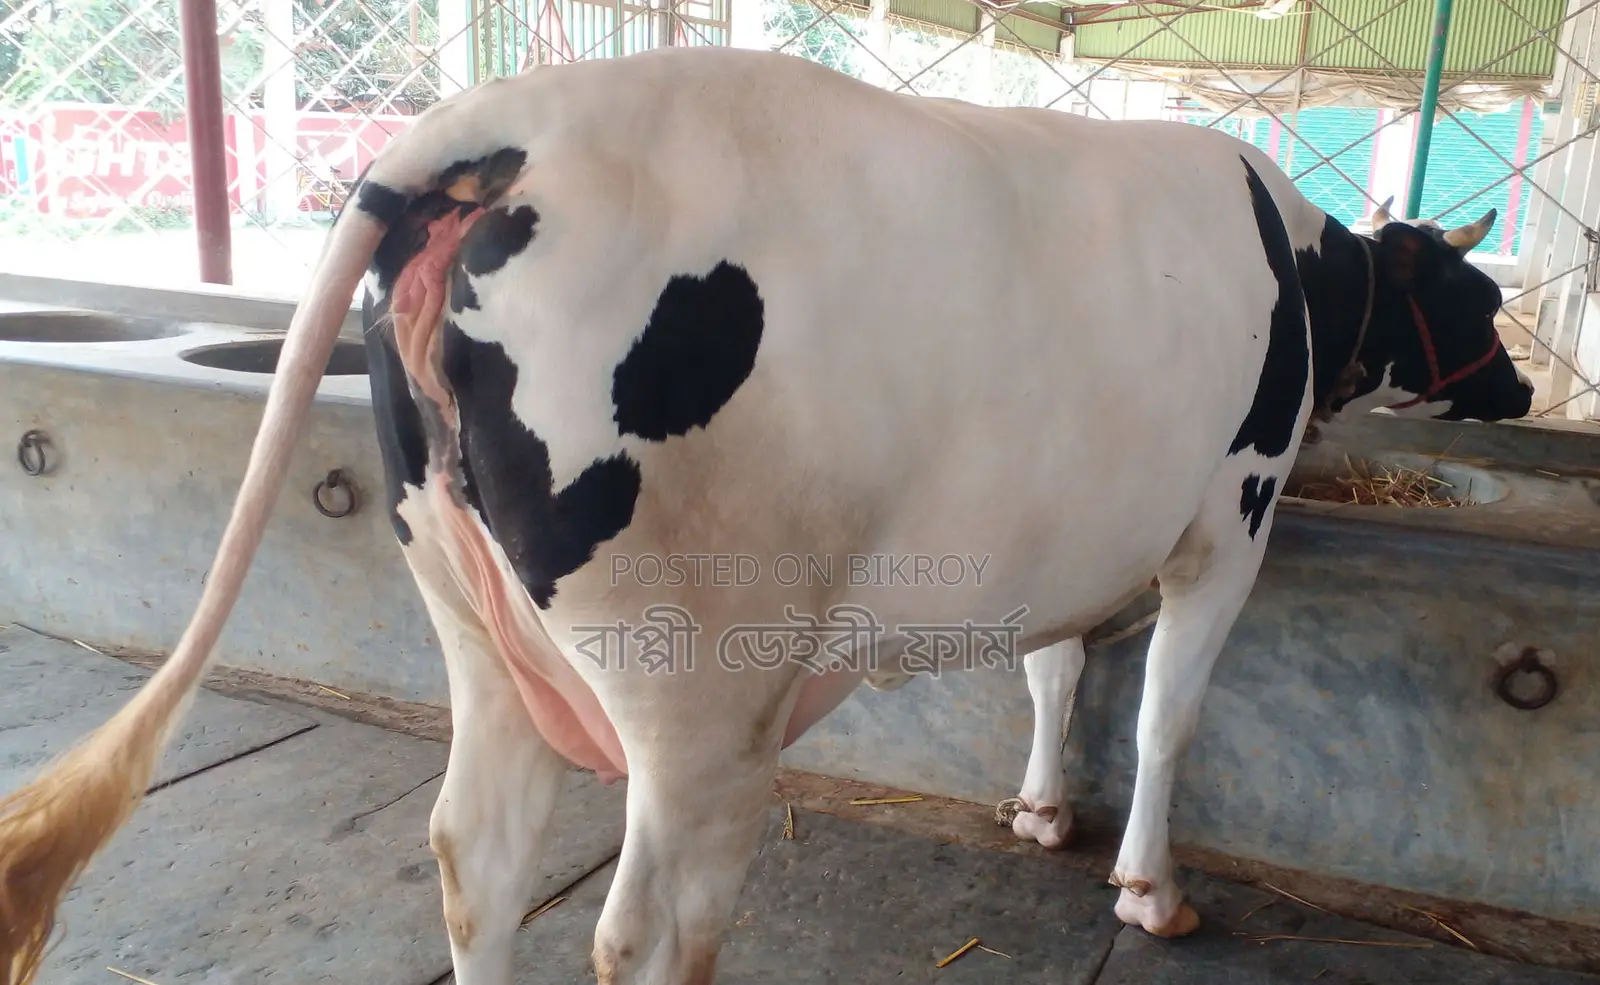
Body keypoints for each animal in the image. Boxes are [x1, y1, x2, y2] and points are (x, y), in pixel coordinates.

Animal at [0, 45, 1531, 985]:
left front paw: (1041, 809)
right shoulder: (1233, 516)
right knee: (647, 926)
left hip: (472, 618)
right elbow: (1165, 716)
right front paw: (1148, 889)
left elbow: (1050, 667)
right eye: (1482, 299)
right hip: (699, 686)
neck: (1303, 267)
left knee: (475, 858)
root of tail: (498, 123)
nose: (1520, 388)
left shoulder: (1072, 530)